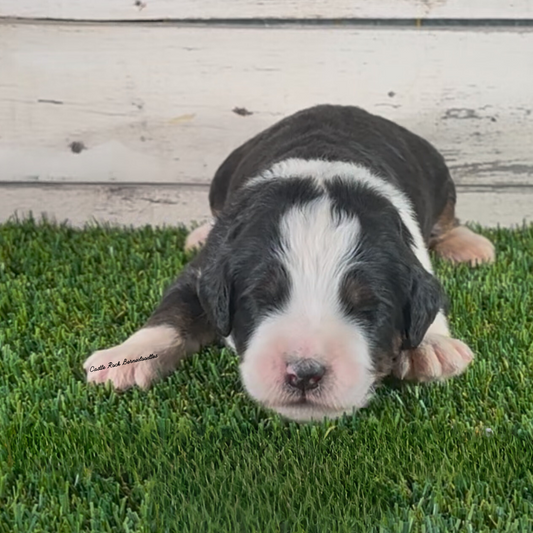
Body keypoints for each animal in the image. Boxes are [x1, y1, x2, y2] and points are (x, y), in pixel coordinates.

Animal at [83, 104, 494, 420]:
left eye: (367, 309)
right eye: (261, 299)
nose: (305, 374)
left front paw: (432, 347)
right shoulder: (208, 265)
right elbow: (172, 312)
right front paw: (125, 358)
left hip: (440, 174)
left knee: (447, 218)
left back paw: (469, 244)